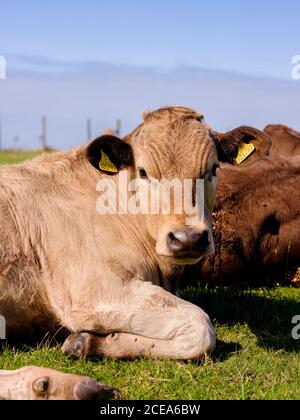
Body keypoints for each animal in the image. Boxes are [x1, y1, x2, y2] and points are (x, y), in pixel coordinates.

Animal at [0, 106, 268, 400]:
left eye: (213, 168)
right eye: (143, 172)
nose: (187, 239)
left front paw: (86, 342)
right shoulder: (92, 291)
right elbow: (200, 327)